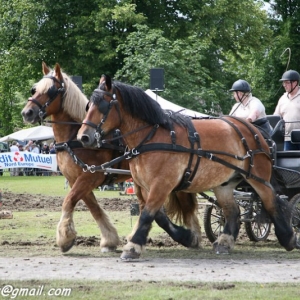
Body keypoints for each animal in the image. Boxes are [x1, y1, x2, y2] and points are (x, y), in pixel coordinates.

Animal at [20, 62, 202, 253]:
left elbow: (69, 201)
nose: (27, 112)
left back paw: (193, 235)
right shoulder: (76, 179)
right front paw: (109, 240)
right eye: (34, 89)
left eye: (51, 90)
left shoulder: (90, 176)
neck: (73, 137)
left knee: (187, 207)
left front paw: (65, 238)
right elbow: (94, 208)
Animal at [78, 75, 300, 260]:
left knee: (271, 202)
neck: (152, 136)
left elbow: (148, 214)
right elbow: (157, 216)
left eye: (103, 105)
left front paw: (132, 247)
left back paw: (289, 238)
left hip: (257, 178)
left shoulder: (162, 185)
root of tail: (254, 131)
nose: (84, 137)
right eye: (88, 105)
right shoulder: (144, 187)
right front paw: (187, 237)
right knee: (233, 211)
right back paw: (225, 242)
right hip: (225, 184)